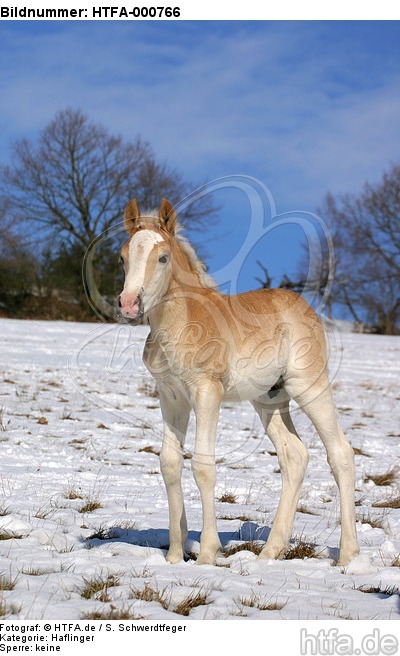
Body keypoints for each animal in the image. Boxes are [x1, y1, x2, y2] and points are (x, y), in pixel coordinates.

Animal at [119, 197, 360, 568]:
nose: (130, 304)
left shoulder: (207, 392)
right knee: (295, 456)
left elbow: (203, 466)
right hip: (269, 400)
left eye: (163, 257)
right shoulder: (171, 397)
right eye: (123, 256)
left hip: (310, 386)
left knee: (340, 454)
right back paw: (271, 551)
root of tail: (305, 307)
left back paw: (348, 556)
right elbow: (169, 463)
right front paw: (173, 556)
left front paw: (207, 554)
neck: (180, 323)